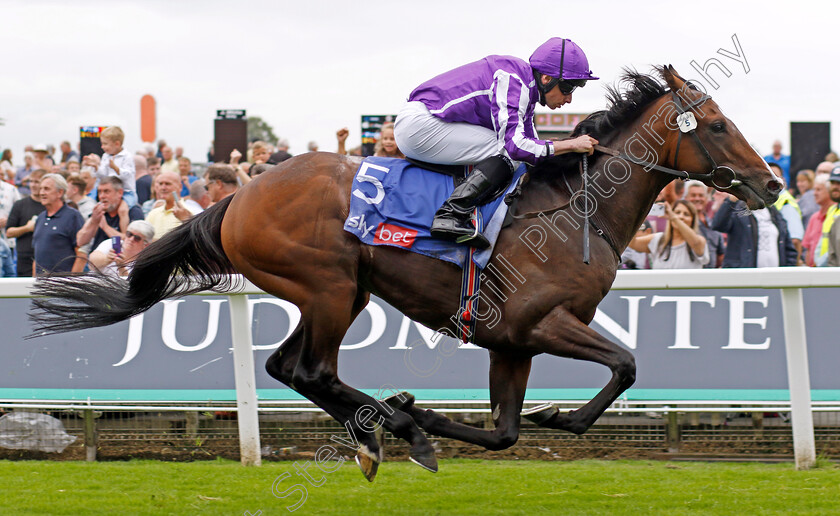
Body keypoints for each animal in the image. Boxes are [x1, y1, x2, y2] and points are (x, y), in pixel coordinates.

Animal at [31, 66, 780, 482]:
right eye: (716, 124)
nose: (770, 184)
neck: (576, 209)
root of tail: (237, 197)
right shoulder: (541, 322)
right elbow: (625, 365)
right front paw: (543, 415)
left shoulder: (511, 341)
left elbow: (506, 431)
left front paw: (466, 416)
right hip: (331, 287)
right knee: (309, 370)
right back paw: (393, 428)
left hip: (339, 292)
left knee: (287, 366)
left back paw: (380, 434)